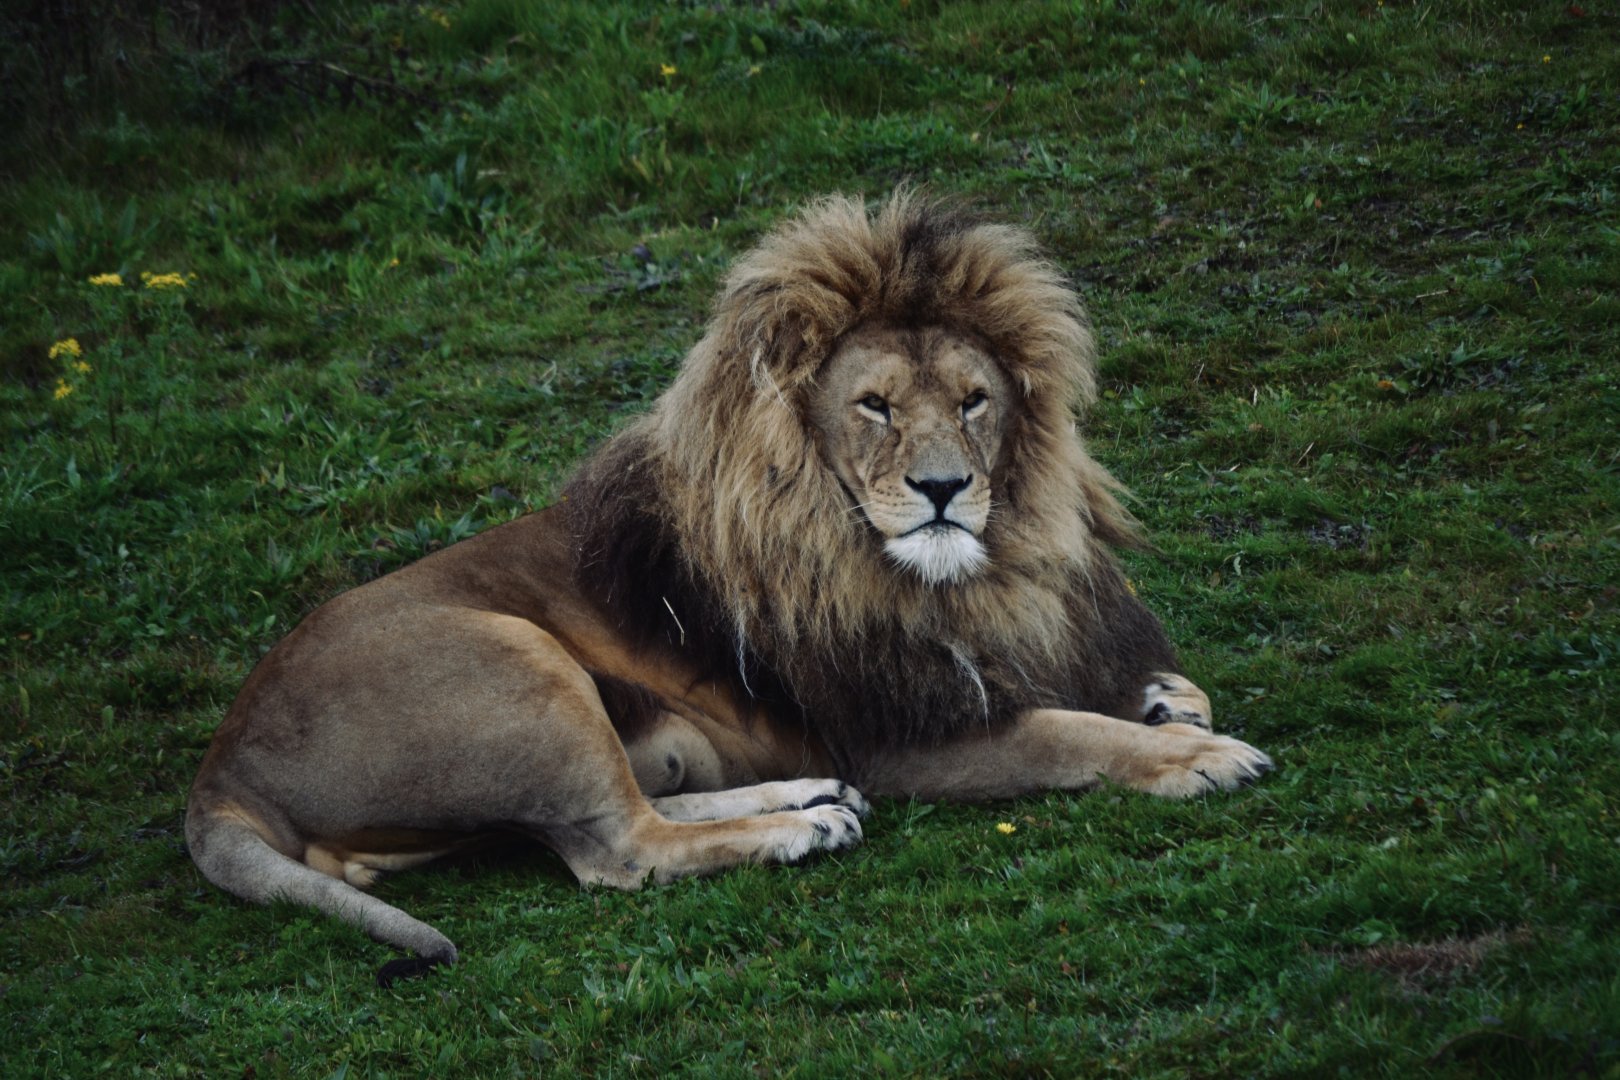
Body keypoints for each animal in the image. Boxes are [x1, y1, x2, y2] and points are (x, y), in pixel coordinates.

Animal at [186, 191, 1271, 981]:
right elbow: (1070, 734)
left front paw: (1168, 704)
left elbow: (1134, 688)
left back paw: (802, 796)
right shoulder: (899, 734)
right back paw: (800, 828)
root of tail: (221, 771)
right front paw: (1196, 757)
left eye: (974, 401)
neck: (941, 576)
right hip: (515, 658)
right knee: (622, 848)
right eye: (875, 407)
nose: (944, 489)